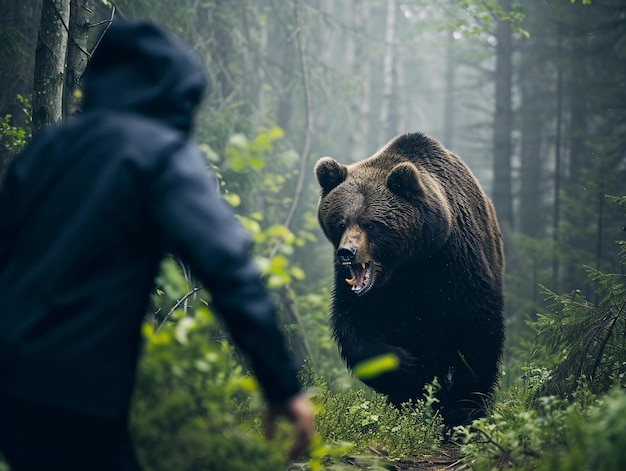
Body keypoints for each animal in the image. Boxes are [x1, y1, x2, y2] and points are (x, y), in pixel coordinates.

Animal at [312, 133, 502, 428]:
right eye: (341, 222)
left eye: (371, 224)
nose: (347, 252)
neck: (408, 262)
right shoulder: (371, 291)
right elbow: (355, 326)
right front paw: (406, 369)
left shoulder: (454, 261)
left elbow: (476, 325)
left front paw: (462, 409)